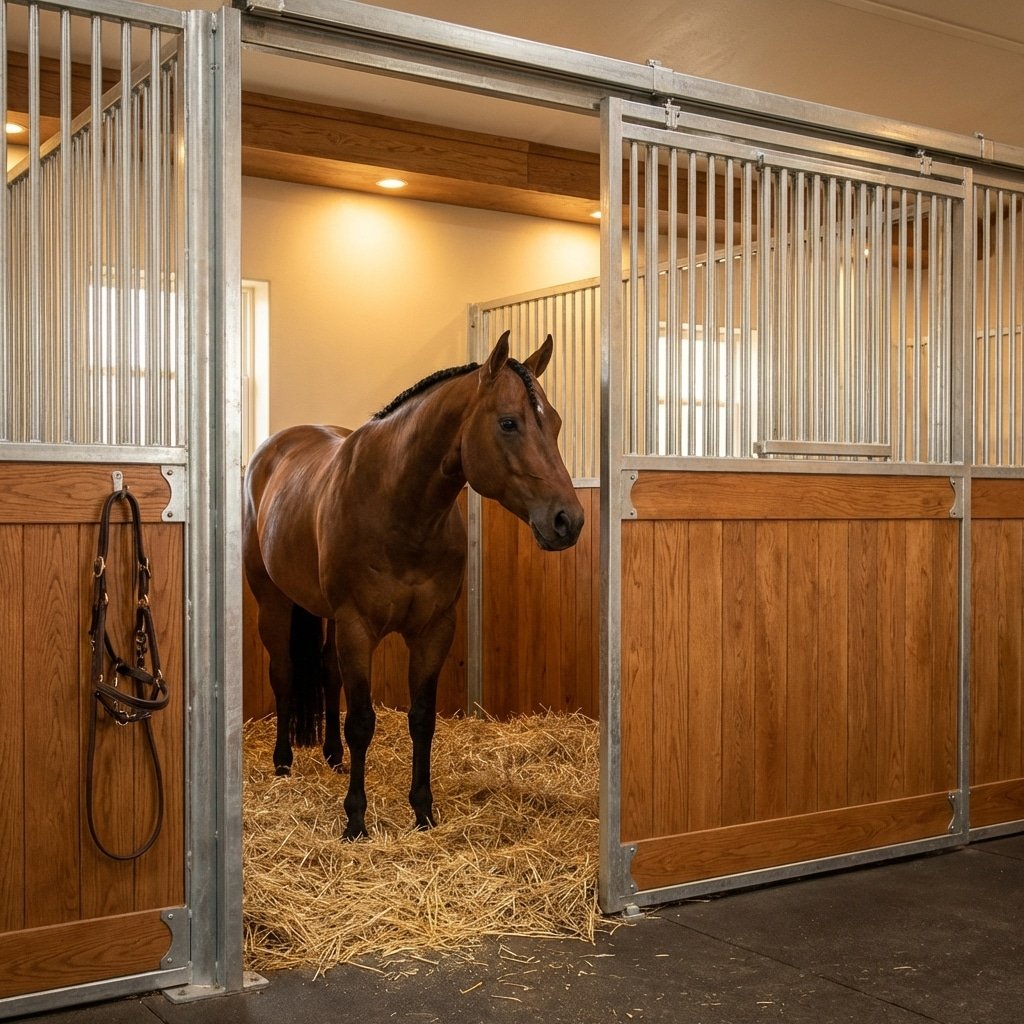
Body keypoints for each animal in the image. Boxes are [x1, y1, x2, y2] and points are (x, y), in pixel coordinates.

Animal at [243, 331, 584, 839]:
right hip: (273, 601)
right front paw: (356, 820)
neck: (397, 505)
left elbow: (422, 719)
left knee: (326, 673)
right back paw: (283, 762)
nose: (568, 521)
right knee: (283, 673)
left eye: (556, 423)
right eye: (508, 423)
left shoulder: (433, 629)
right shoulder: (357, 627)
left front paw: (423, 811)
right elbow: (362, 721)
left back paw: (332, 757)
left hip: (326, 615)